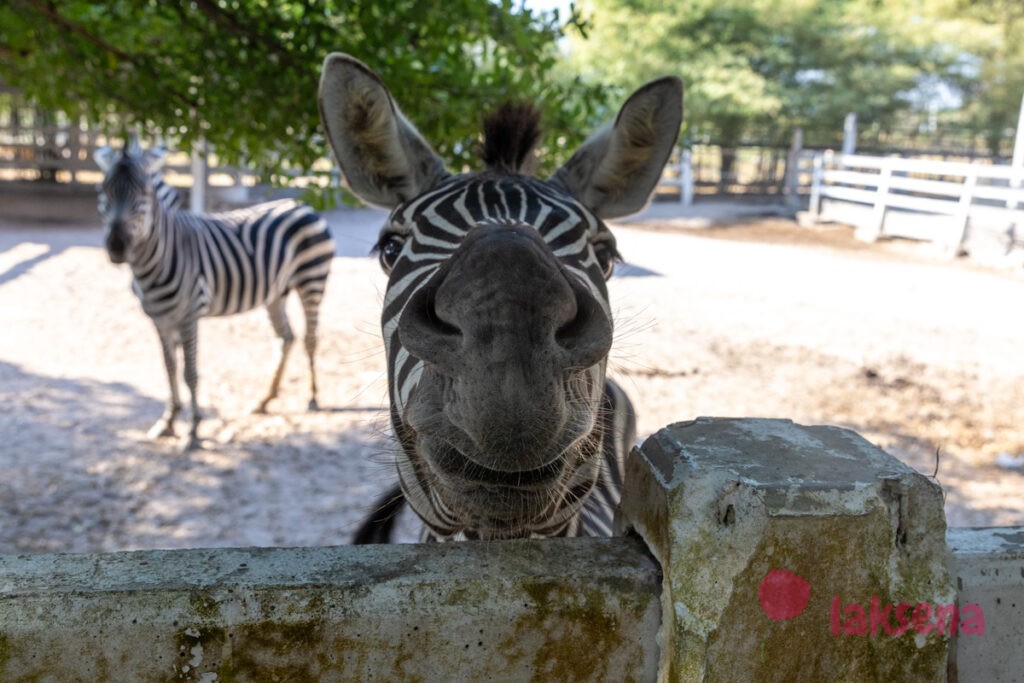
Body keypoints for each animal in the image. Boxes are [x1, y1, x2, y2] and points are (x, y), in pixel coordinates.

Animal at [91, 140, 331, 448]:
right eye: (103, 191)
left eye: (145, 193)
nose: (117, 246)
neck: (157, 257)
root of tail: (299, 204)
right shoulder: (159, 319)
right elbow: (169, 369)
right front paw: (168, 421)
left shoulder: (189, 316)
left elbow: (190, 373)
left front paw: (193, 429)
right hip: (276, 292)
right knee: (287, 337)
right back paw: (265, 399)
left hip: (312, 280)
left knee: (311, 339)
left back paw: (312, 397)